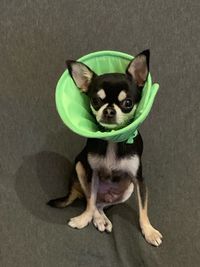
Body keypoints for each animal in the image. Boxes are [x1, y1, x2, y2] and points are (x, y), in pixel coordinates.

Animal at [47, 49, 163, 247]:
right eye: (95, 101)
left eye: (128, 103)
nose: (109, 110)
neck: (112, 141)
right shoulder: (92, 174)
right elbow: (91, 201)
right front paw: (83, 219)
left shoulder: (138, 180)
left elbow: (143, 208)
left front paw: (149, 231)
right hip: (81, 168)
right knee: (92, 201)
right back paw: (98, 219)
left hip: (127, 189)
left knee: (100, 204)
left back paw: (103, 218)